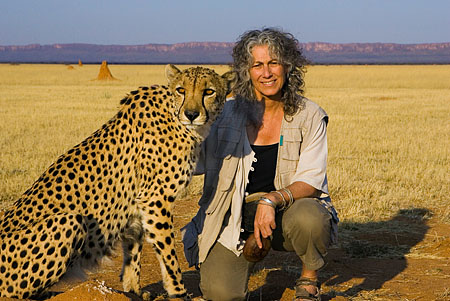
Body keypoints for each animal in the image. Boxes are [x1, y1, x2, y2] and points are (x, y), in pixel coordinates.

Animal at [0, 63, 234, 298]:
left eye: (209, 91)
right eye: (181, 90)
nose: (192, 114)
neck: (175, 115)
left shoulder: (138, 206)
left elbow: (133, 252)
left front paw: (133, 291)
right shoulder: (155, 199)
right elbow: (168, 253)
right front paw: (178, 291)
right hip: (70, 220)